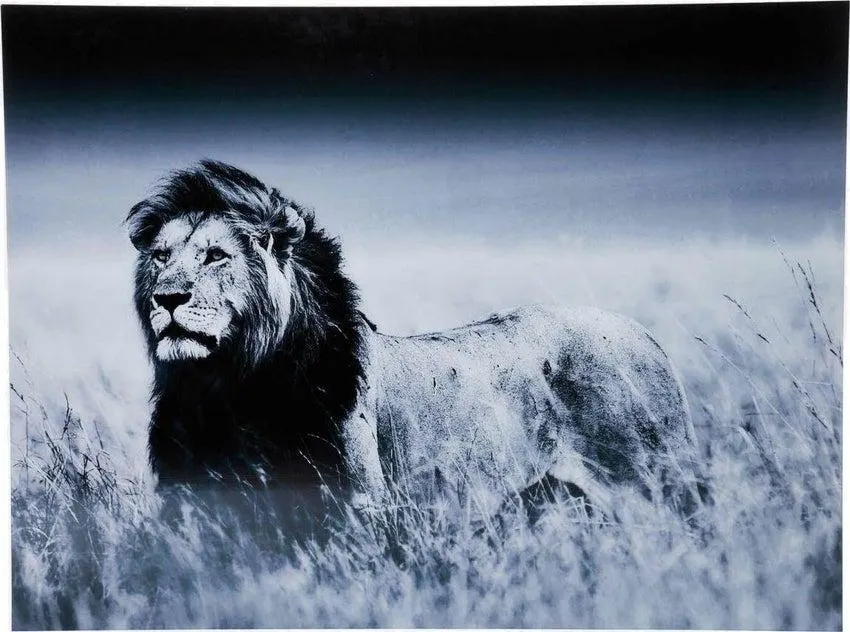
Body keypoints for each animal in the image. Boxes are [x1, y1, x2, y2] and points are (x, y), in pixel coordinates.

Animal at [127, 160, 704, 523]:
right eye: (161, 256)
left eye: (215, 256)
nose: (167, 297)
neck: (229, 388)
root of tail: (644, 333)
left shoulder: (357, 505)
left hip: (655, 486)